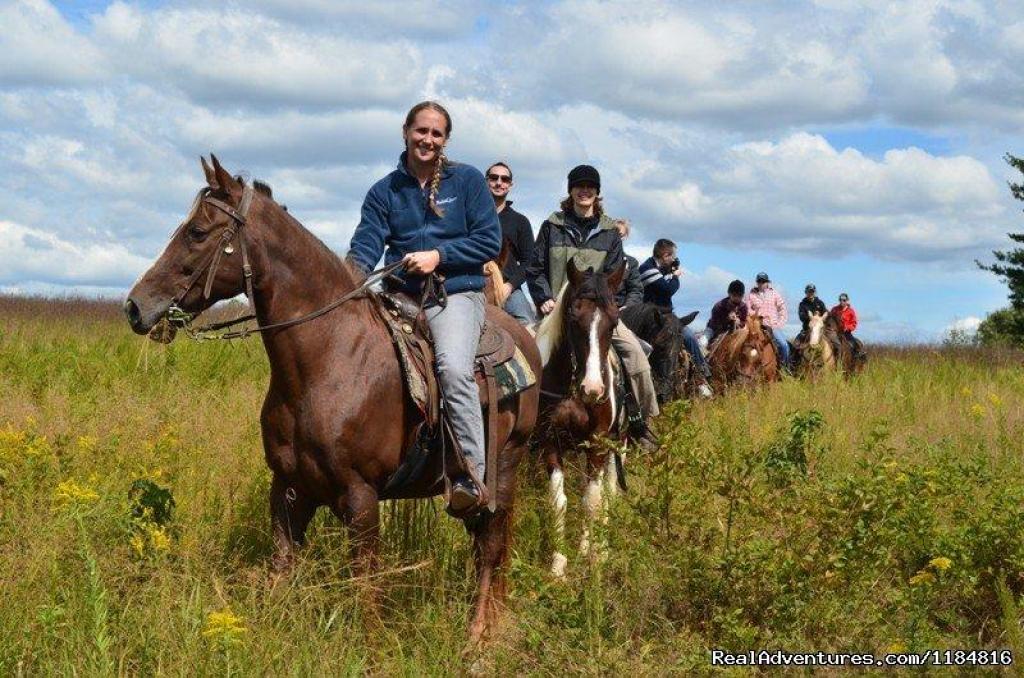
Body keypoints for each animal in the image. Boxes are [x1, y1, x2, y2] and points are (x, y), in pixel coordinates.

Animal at [125, 156, 544, 647]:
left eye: (196, 232)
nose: (136, 307)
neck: (328, 358)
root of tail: (523, 339)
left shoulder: (360, 498)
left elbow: (366, 588)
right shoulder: (289, 490)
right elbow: (281, 570)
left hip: (504, 468)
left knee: (491, 547)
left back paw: (478, 633)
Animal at [532, 260, 626, 577]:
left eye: (613, 323)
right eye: (574, 317)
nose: (593, 389)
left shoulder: (598, 443)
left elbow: (591, 501)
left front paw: (592, 555)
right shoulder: (550, 441)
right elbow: (558, 501)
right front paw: (558, 563)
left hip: (617, 444)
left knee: (608, 491)